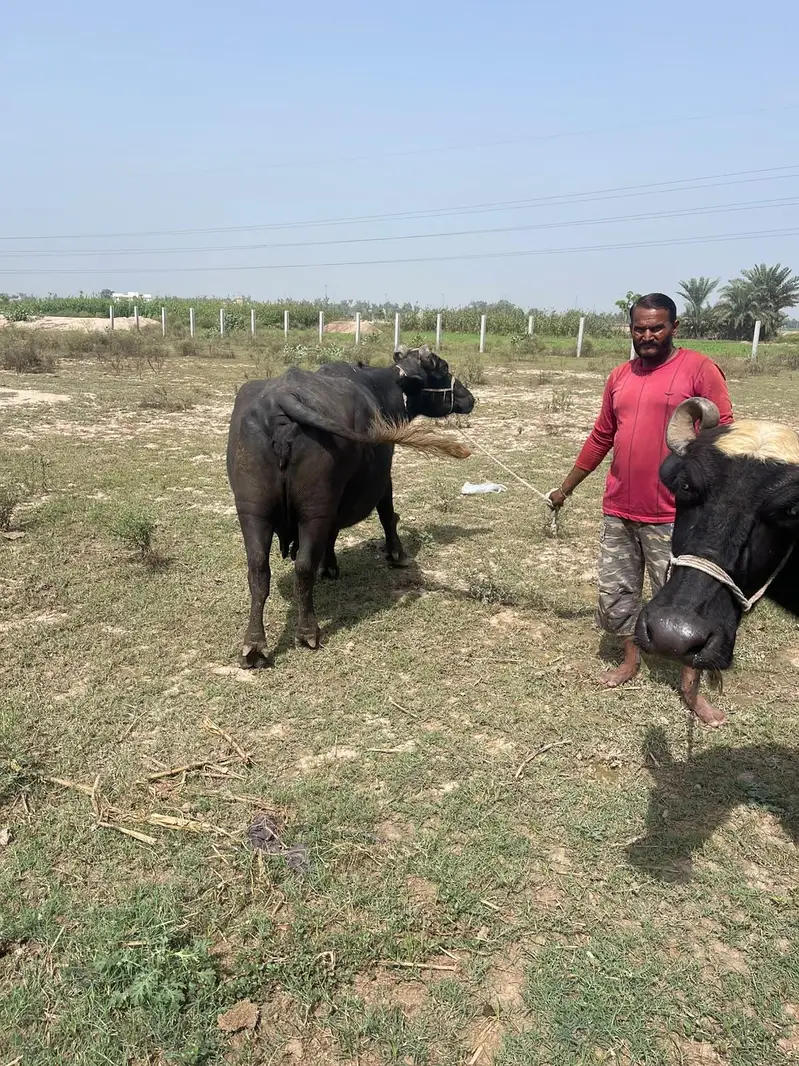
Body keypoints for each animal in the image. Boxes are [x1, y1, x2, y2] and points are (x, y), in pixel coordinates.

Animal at [226, 345, 475, 666]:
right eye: (442, 368)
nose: (470, 398)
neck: (381, 387)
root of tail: (283, 397)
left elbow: (331, 535)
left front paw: (330, 565)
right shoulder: (382, 478)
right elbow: (387, 514)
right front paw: (397, 554)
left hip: (252, 508)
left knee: (258, 570)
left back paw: (254, 645)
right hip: (313, 509)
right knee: (302, 566)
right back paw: (308, 632)